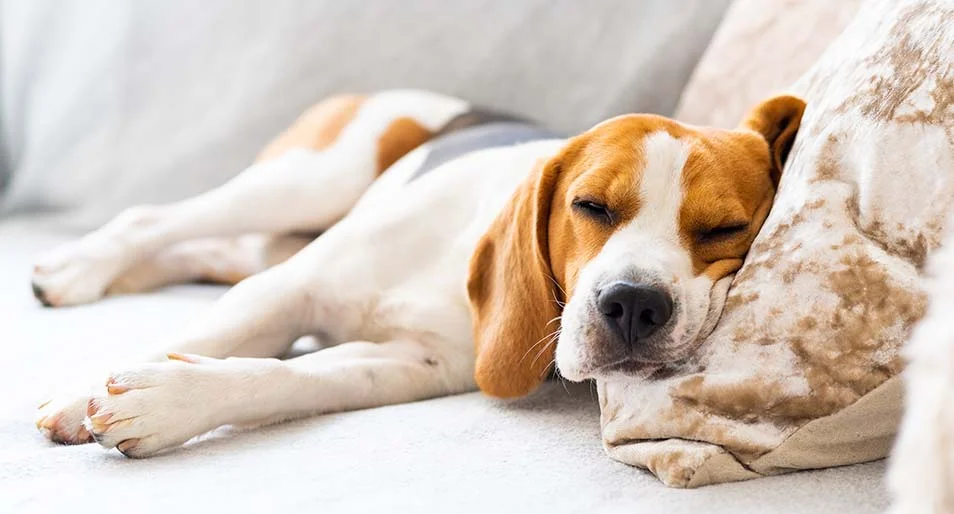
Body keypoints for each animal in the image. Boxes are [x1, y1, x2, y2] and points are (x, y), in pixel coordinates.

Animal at [31, 89, 804, 456]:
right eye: (590, 206)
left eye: (724, 230)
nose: (635, 305)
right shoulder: (285, 291)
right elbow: (202, 339)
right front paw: (77, 396)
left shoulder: (414, 363)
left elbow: (288, 375)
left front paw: (169, 400)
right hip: (309, 181)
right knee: (151, 219)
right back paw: (75, 268)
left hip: (274, 233)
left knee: (200, 250)